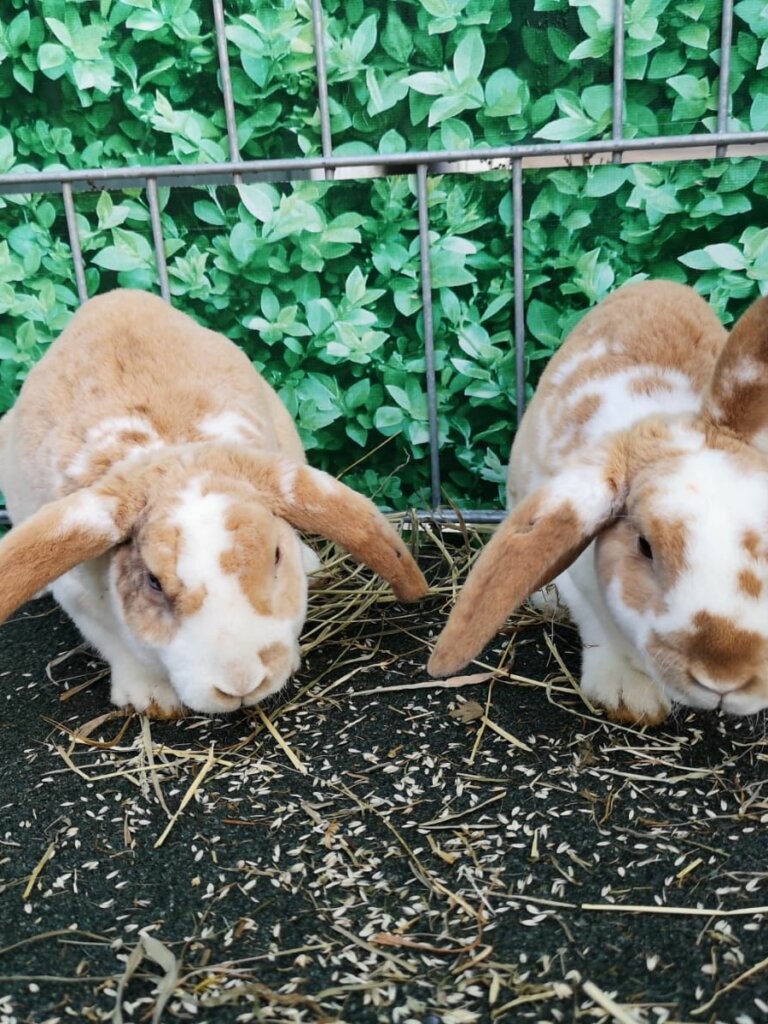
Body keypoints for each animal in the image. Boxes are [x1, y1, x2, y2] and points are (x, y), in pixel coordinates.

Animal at [0, 290, 427, 717]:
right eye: (153, 582)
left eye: (275, 555)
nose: (241, 683)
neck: (176, 455)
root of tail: (115, 296)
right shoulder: (79, 597)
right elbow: (117, 646)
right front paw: (151, 699)